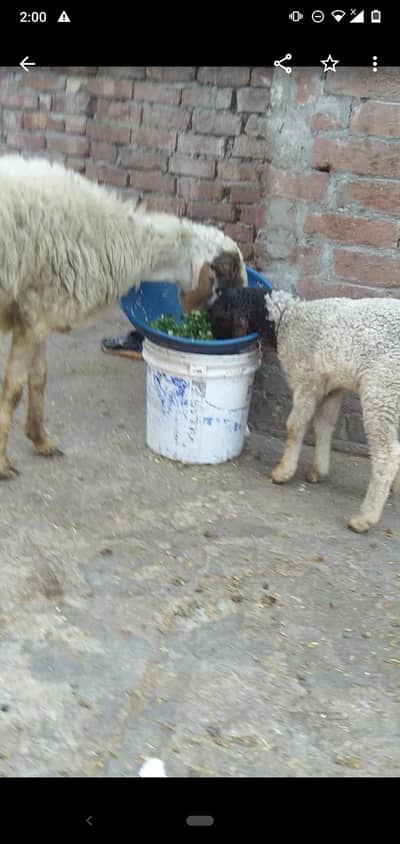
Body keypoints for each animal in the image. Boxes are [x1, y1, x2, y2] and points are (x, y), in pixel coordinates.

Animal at [0, 154, 246, 479]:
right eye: (229, 286)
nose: (235, 339)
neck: (117, 236)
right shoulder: (33, 316)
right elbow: (13, 390)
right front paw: (2, 464)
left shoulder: (39, 311)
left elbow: (38, 379)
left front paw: (41, 441)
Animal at [262, 290, 400, 533]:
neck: (289, 318)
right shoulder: (332, 386)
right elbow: (323, 426)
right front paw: (318, 471)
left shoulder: (307, 379)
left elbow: (295, 426)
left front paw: (283, 471)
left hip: (381, 389)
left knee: (386, 454)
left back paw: (364, 518)